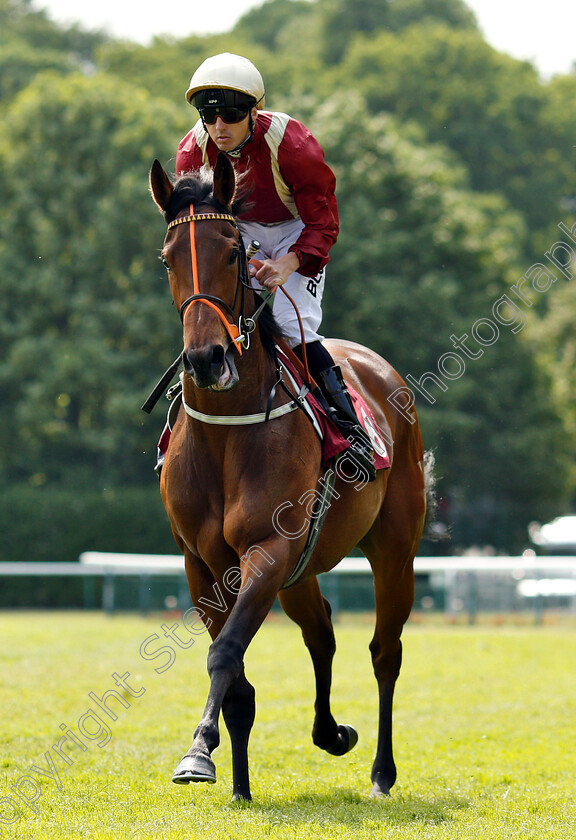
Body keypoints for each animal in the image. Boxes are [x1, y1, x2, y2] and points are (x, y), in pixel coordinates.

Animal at [148, 151, 432, 800]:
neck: (228, 431)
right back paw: (331, 733)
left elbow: (226, 653)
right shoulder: (202, 563)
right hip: (301, 568)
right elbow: (237, 677)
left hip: (393, 549)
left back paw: (382, 772)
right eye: (168, 258)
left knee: (385, 651)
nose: (206, 360)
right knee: (321, 631)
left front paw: (198, 752)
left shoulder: (269, 548)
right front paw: (236, 781)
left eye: (234, 252)